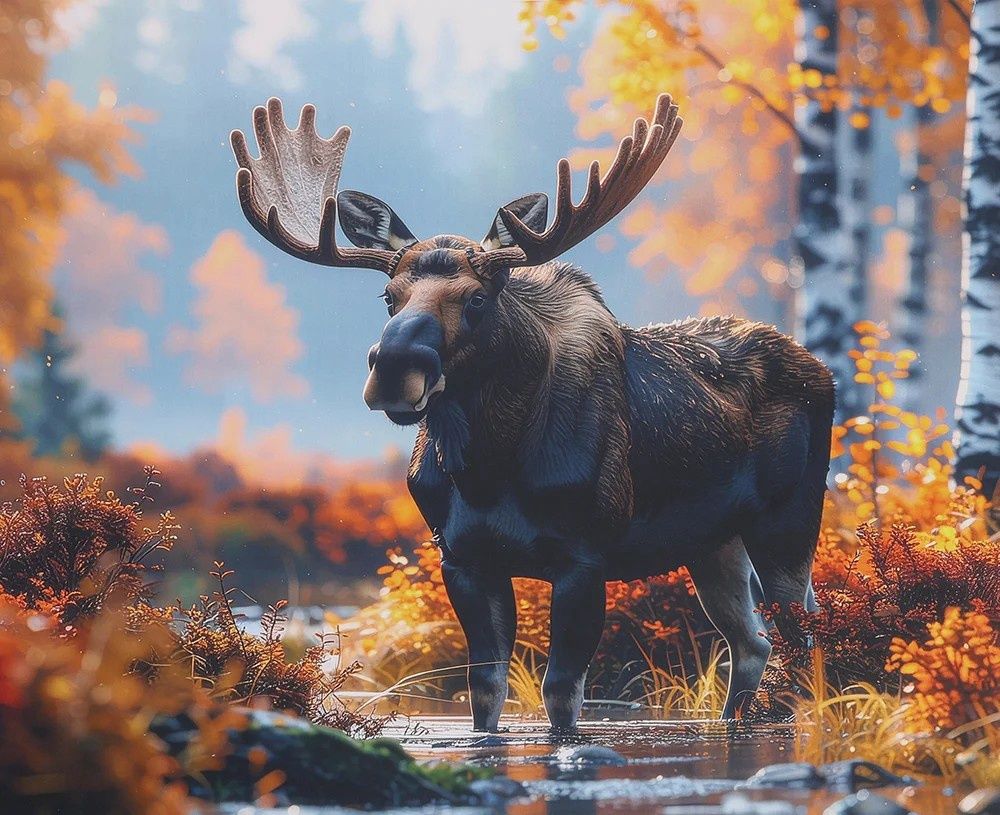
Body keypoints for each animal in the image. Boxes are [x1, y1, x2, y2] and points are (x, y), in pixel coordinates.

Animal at [230, 95, 834, 731]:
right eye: (388, 297)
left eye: (478, 297)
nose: (394, 366)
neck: (490, 468)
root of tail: (823, 370)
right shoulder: (463, 557)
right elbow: (485, 690)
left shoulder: (586, 555)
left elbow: (562, 694)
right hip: (712, 540)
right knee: (752, 640)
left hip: (788, 522)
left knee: (803, 638)